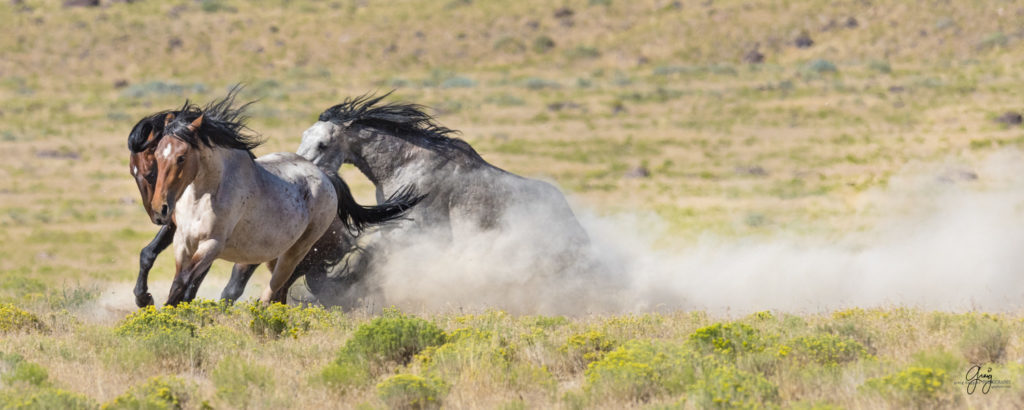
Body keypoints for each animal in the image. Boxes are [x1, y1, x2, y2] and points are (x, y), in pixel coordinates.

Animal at [149, 97, 419, 305]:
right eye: (157, 153)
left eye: (182, 157)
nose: (160, 209)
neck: (204, 197)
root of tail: (325, 175)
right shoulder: (183, 243)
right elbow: (179, 284)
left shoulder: (212, 245)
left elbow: (183, 284)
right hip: (273, 255)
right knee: (279, 292)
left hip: (294, 253)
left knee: (273, 292)